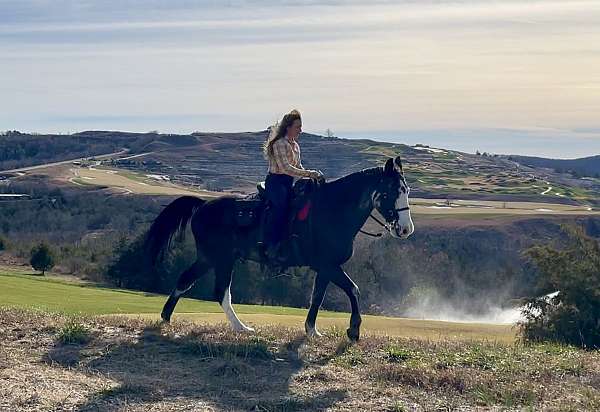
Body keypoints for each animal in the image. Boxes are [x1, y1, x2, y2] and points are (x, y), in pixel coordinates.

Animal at [145, 155, 412, 342]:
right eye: (391, 191)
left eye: (407, 190)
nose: (406, 229)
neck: (332, 211)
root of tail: (203, 205)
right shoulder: (328, 266)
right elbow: (354, 290)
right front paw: (353, 330)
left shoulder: (326, 268)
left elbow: (317, 297)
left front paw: (312, 331)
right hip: (220, 259)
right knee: (220, 291)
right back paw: (241, 328)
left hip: (210, 258)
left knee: (186, 280)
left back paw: (166, 317)